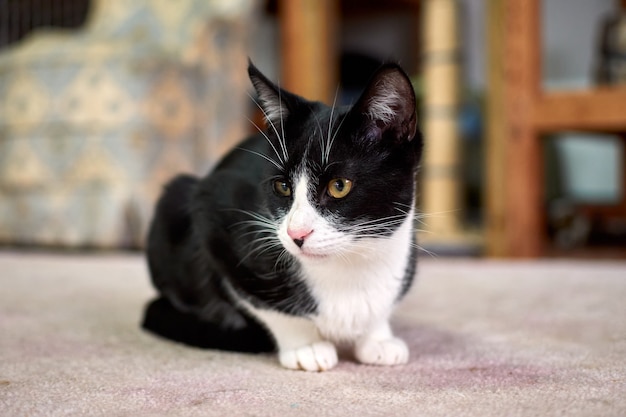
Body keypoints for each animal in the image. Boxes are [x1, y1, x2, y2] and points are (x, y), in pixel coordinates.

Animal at [144, 59, 422, 370]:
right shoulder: (214, 216)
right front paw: (306, 345)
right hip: (175, 199)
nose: (296, 233)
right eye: (283, 186)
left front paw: (378, 338)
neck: (349, 265)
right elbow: (264, 304)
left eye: (339, 186)